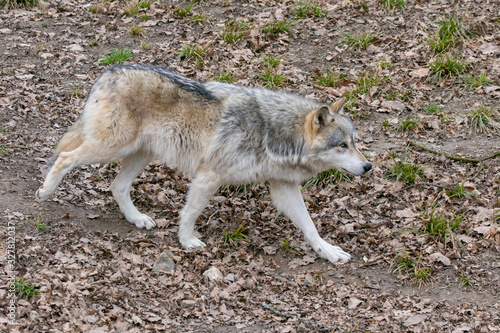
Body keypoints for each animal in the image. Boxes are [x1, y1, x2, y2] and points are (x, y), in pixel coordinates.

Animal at [36, 64, 372, 262]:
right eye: (342, 145)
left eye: (355, 142)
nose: (368, 167)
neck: (273, 132)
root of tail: (110, 70)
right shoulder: (209, 176)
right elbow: (190, 213)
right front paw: (187, 242)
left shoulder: (284, 188)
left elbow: (310, 227)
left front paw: (328, 252)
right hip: (110, 147)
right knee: (64, 157)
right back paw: (45, 191)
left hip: (141, 154)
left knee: (116, 186)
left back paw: (137, 219)